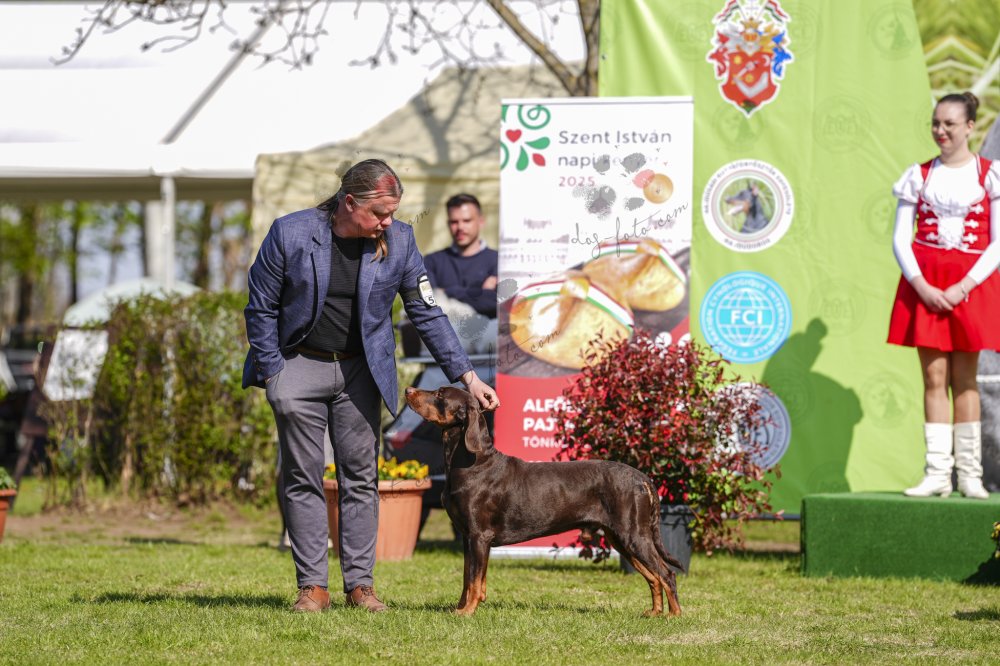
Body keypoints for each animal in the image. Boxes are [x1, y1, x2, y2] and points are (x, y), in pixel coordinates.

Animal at [404, 385, 683, 617]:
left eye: (440, 394)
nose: (408, 390)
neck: (470, 462)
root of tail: (643, 478)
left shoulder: (479, 536)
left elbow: (474, 580)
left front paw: (467, 612)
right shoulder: (466, 536)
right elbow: (467, 578)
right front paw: (460, 608)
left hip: (633, 534)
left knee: (666, 573)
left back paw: (674, 615)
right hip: (621, 538)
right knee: (653, 577)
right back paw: (654, 613)